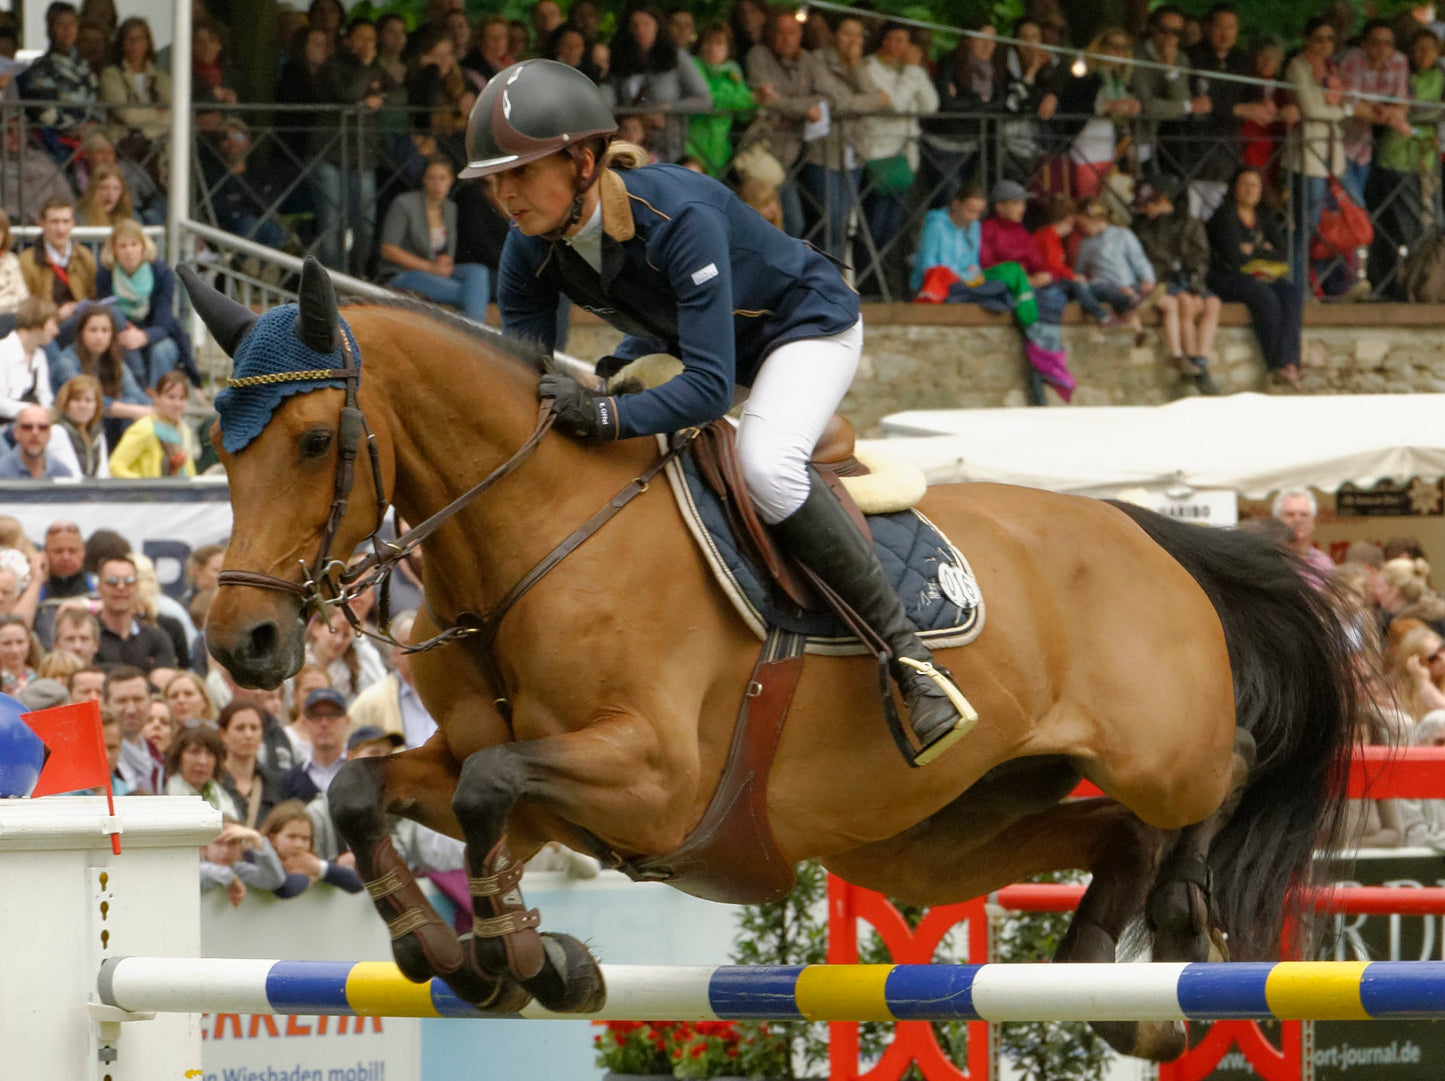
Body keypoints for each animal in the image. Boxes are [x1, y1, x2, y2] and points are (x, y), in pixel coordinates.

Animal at [192, 259, 1357, 1062]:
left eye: (310, 441)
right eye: (218, 444)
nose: (243, 642)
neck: (533, 536)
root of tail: (1144, 527)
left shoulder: (653, 778)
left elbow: (486, 790)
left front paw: (525, 956)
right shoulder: (521, 781)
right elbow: (366, 790)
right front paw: (454, 955)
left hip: (1152, 747)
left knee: (1227, 760)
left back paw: (1183, 918)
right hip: (934, 841)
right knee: (1111, 830)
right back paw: (1112, 993)